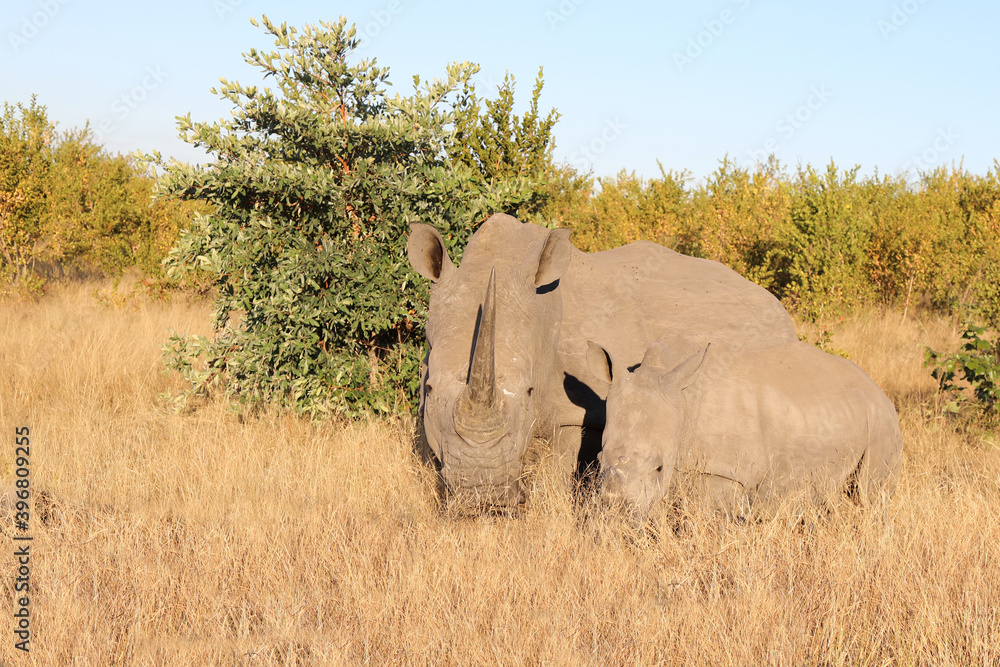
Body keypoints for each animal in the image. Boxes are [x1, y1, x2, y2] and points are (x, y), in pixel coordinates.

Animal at [406, 213, 798, 509]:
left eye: (530, 392)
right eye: (430, 387)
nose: (483, 498)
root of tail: (779, 307)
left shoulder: (584, 411)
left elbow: (560, 472)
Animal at [586, 335, 904, 518]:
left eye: (659, 467)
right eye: (598, 460)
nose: (615, 512)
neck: (683, 400)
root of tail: (879, 391)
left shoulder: (724, 471)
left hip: (882, 424)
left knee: (868, 496)